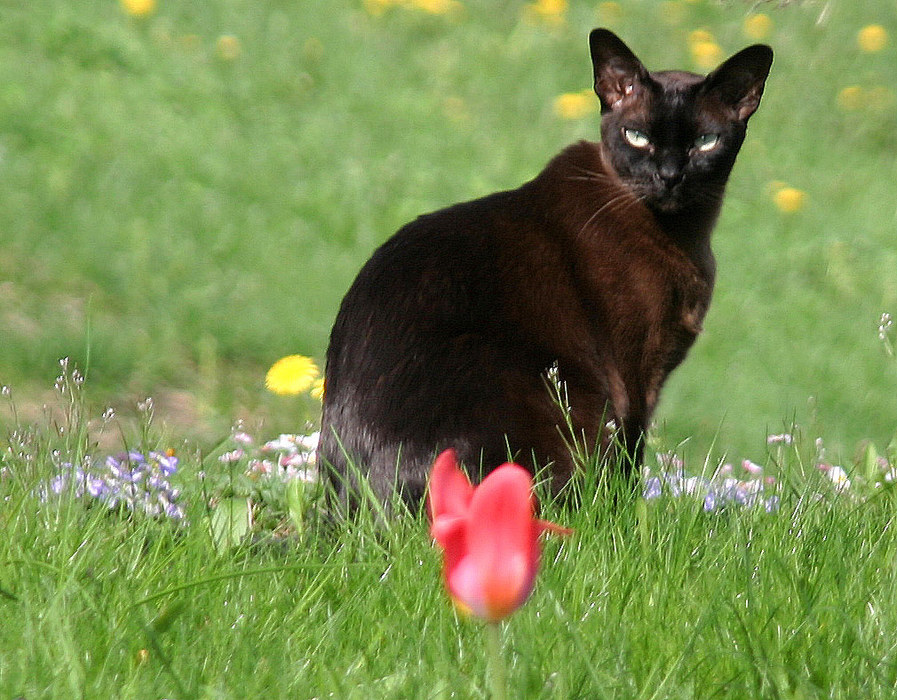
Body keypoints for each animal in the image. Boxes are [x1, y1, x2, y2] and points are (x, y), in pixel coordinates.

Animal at [318, 30, 772, 506]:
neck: (684, 233)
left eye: (705, 141)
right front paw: (630, 515)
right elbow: (630, 459)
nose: (669, 176)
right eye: (637, 136)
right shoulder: (636, 373)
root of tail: (360, 508)